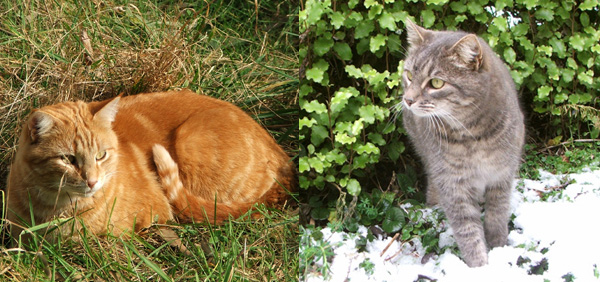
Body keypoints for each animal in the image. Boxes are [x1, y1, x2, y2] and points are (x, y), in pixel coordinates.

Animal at [4, 89, 296, 243]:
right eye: (68, 159)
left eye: (101, 155)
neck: (53, 207)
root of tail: (286, 161)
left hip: (190, 140)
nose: (92, 181)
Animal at [398, 20, 524, 268]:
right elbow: (467, 230)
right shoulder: (453, 185)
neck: (473, 135)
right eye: (408, 74)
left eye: (436, 83)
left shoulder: (502, 176)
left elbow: (497, 217)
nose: (407, 100)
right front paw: (480, 266)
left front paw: (499, 248)